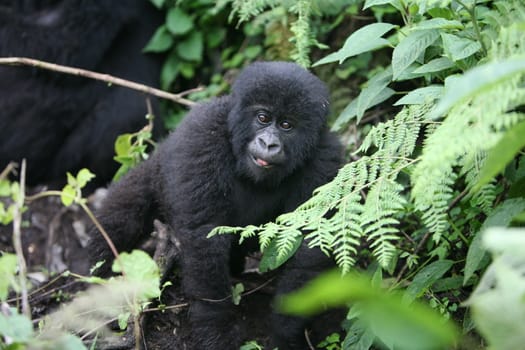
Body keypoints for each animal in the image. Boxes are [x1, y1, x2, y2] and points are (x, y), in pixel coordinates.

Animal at [89, 61, 344, 348]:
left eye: (287, 125)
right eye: (263, 118)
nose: (268, 143)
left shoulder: (326, 158)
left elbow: (311, 242)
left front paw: (285, 328)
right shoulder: (203, 133)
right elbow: (204, 234)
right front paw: (216, 330)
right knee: (122, 216)